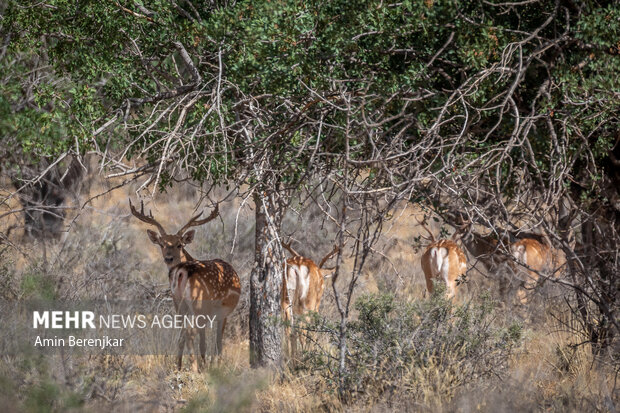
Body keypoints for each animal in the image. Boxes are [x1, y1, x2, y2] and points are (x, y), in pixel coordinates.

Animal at [128, 200, 240, 370]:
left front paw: (205, 365)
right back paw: (193, 369)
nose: (168, 258)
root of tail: (181, 271)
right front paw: (215, 365)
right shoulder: (222, 311)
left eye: (179, 244)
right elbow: (217, 342)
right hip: (198, 304)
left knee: (181, 335)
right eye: (161, 244)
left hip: (179, 304)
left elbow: (203, 343)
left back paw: (179, 367)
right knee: (189, 333)